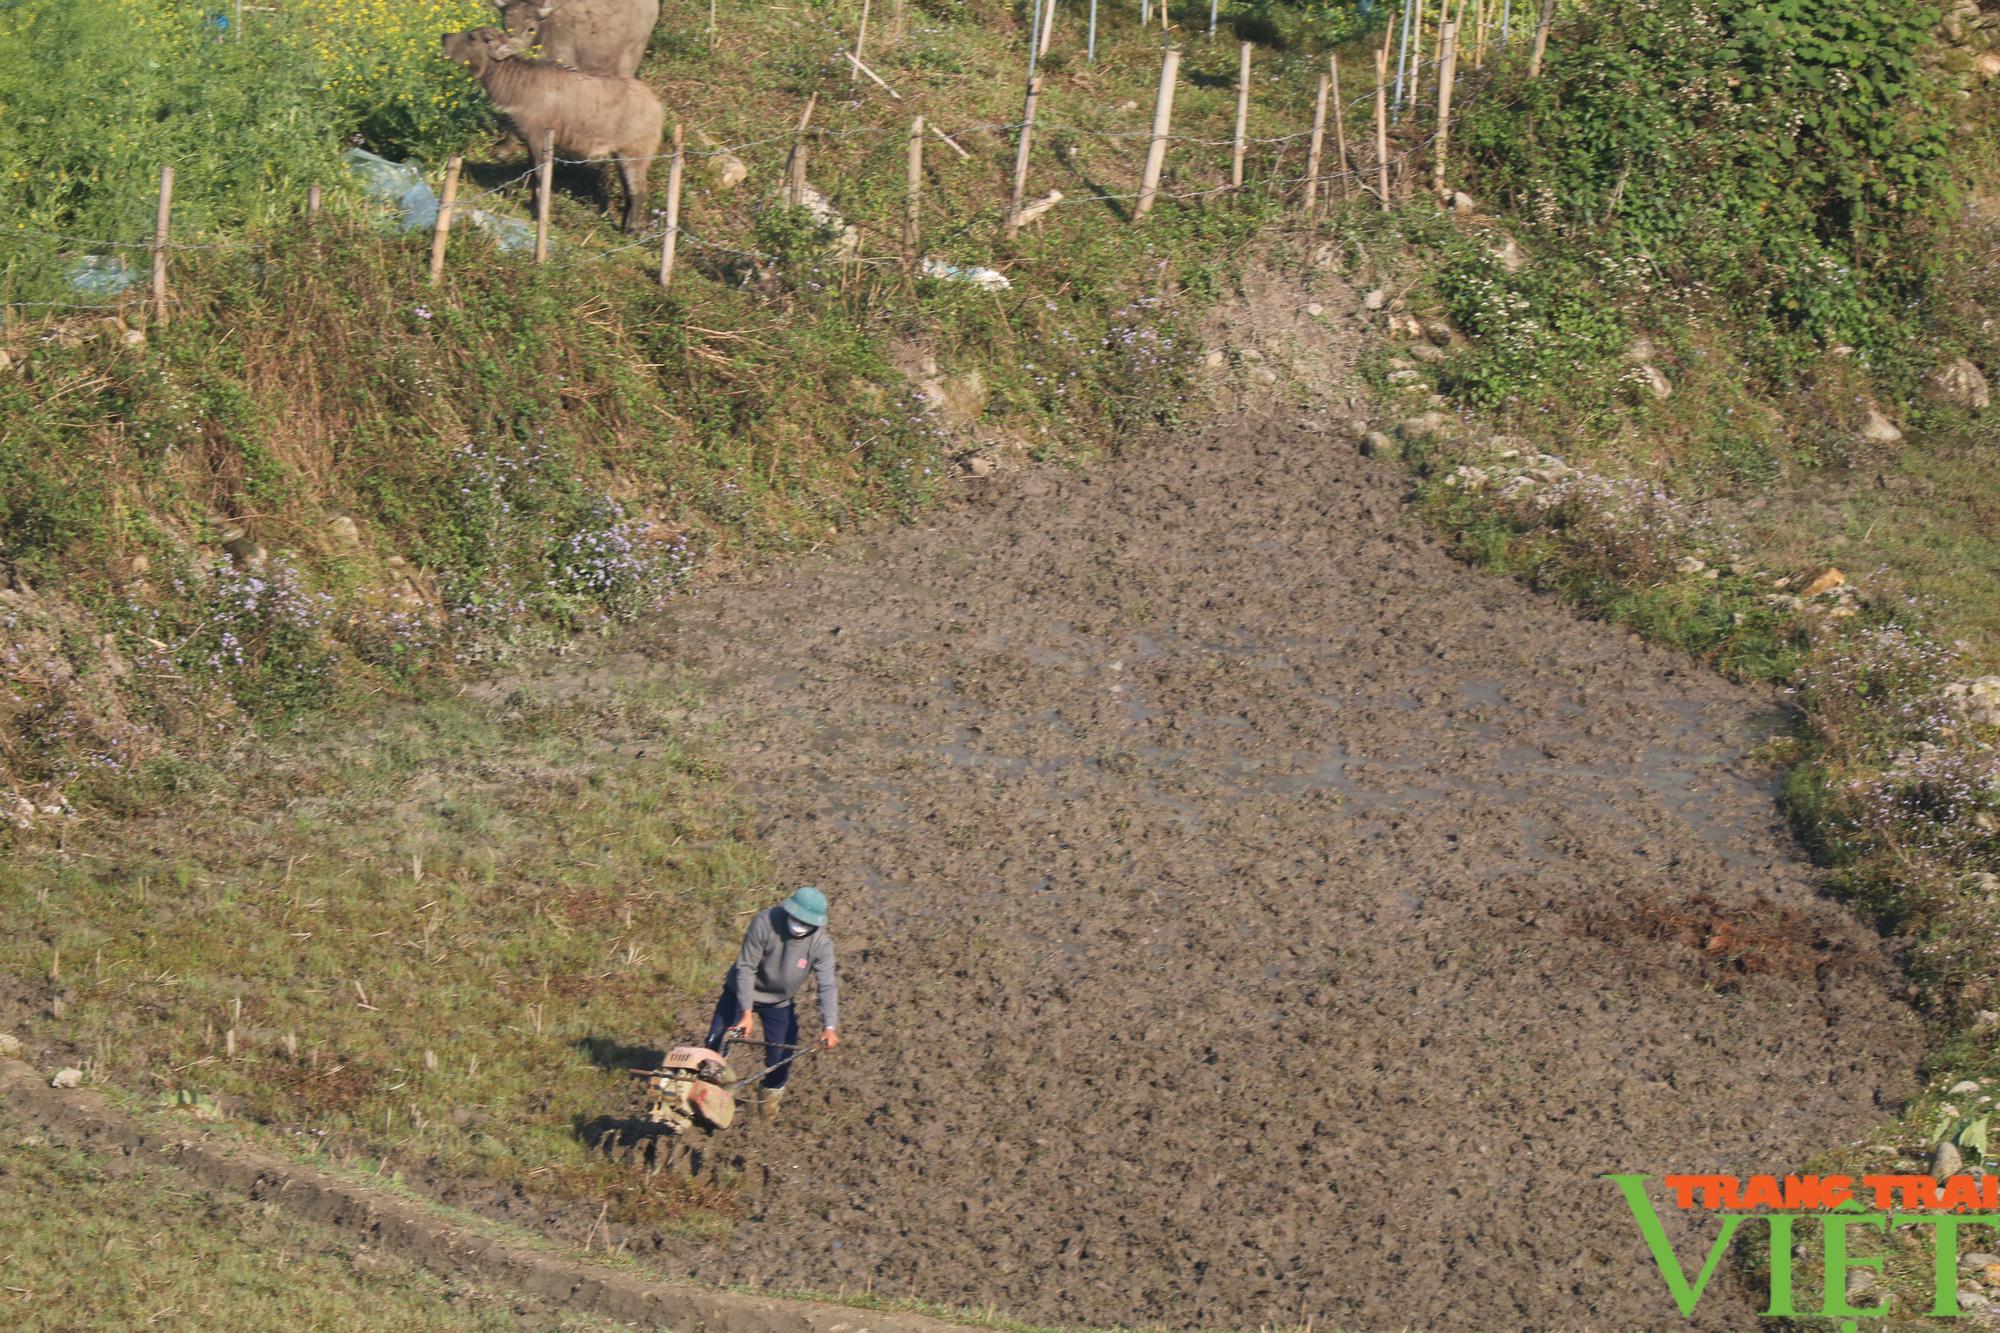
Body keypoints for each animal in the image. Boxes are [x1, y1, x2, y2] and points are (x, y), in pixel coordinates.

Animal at [442, 26, 660, 231]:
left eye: (474, 37)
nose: (444, 36)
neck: (518, 85)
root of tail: (657, 107)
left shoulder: (538, 139)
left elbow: (540, 175)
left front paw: (539, 213)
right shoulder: (530, 142)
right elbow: (532, 173)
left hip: (634, 155)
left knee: (638, 190)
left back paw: (630, 230)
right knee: (629, 190)